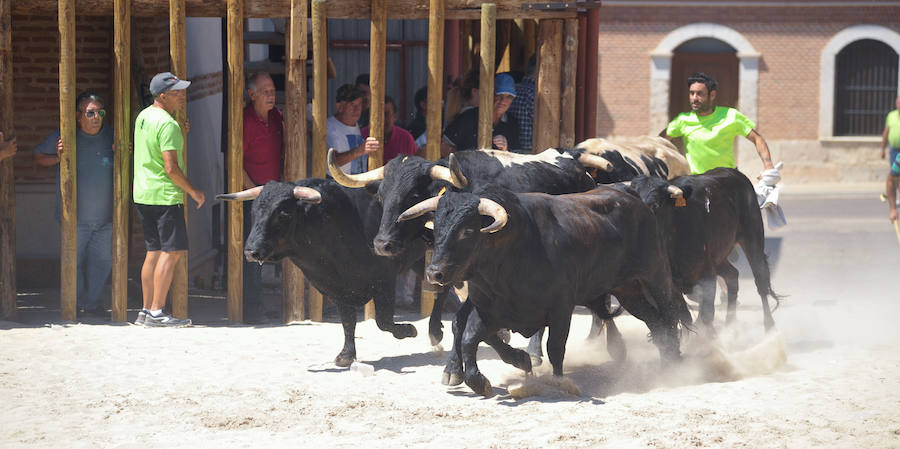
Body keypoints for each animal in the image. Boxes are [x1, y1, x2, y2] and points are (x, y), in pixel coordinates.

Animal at [400, 185, 688, 396]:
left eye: (468, 230)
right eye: (437, 228)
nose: (434, 273)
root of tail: (632, 197)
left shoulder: (561, 308)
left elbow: (555, 345)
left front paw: (559, 380)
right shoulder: (490, 311)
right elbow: (470, 337)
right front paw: (486, 376)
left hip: (655, 276)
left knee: (669, 314)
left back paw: (674, 363)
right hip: (628, 291)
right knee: (655, 321)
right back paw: (665, 361)